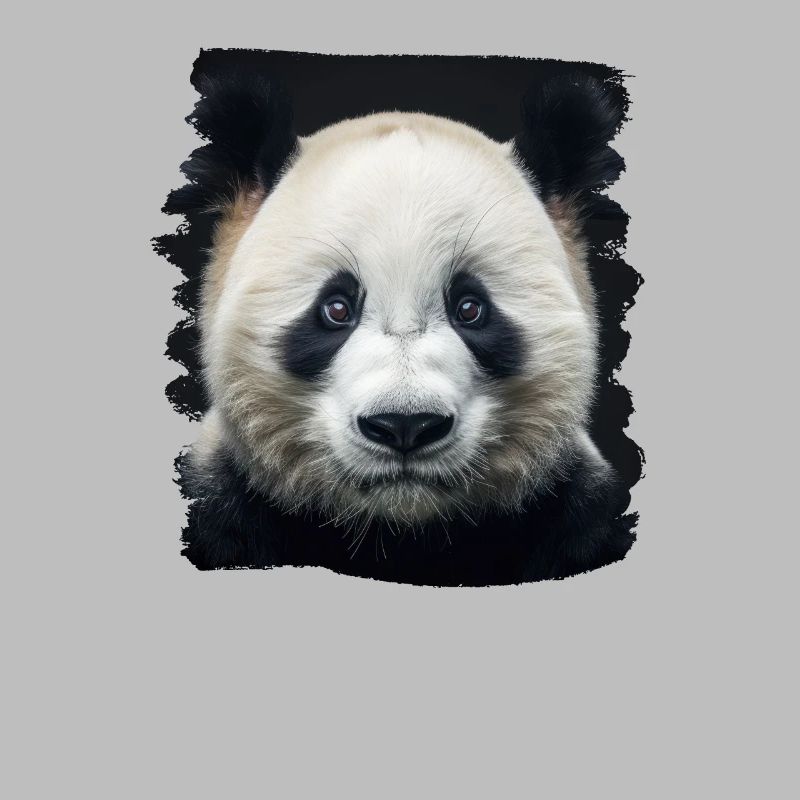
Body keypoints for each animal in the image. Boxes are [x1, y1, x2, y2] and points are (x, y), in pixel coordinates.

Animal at [164, 70, 637, 585]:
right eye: (336, 309)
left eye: (470, 309)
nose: (405, 425)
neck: (401, 533)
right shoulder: (224, 502)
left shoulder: (574, 511)